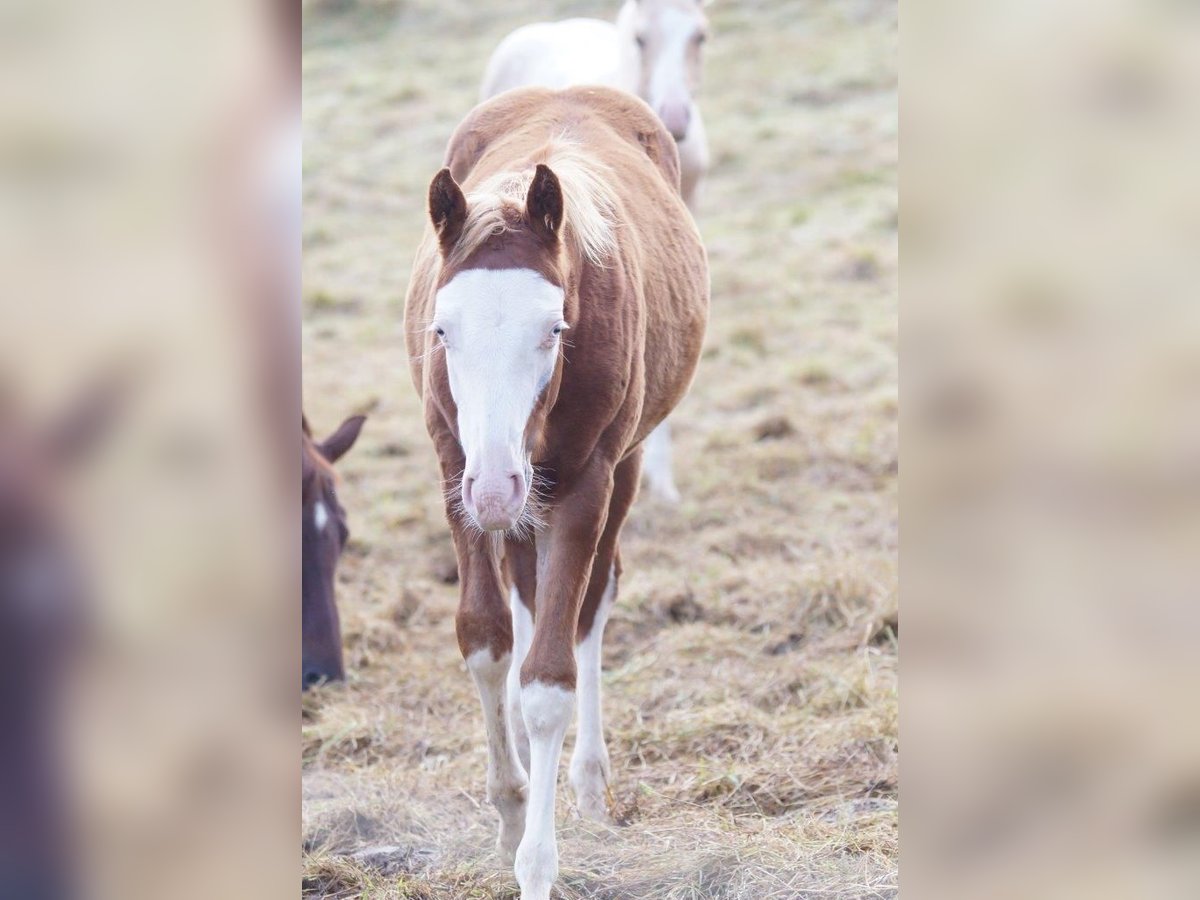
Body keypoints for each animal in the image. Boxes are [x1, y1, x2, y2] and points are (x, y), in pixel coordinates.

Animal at [405, 90, 700, 900]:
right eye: (442, 330)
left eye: (555, 329)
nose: (498, 485)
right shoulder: (455, 469)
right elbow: (485, 640)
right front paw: (509, 809)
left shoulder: (582, 485)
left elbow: (548, 679)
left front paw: (535, 863)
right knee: (527, 599)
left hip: (613, 470)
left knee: (590, 603)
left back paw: (590, 782)